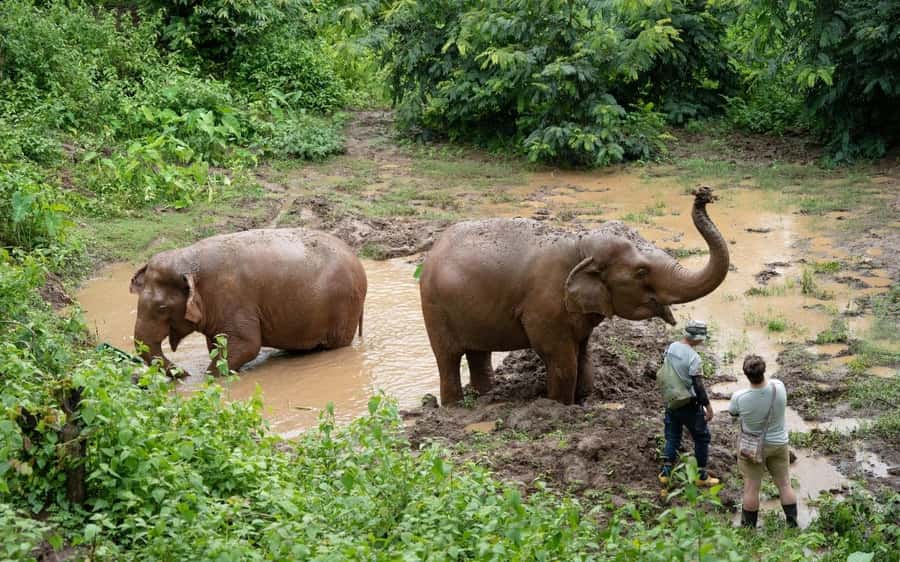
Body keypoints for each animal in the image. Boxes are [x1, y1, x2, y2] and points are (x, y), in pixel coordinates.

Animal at [129, 228, 367, 376]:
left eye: (162, 308)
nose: (184, 373)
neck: (189, 259)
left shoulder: (233, 299)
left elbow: (246, 345)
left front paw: (208, 378)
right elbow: (217, 346)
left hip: (344, 307)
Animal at [419, 187, 729, 406]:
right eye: (641, 272)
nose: (703, 194)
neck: (581, 243)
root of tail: (433, 250)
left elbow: (583, 353)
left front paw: (584, 400)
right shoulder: (544, 307)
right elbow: (561, 359)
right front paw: (558, 407)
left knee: (478, 353)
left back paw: (486, 396)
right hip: (434, 307)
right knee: (448, 358)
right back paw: (454, 406)